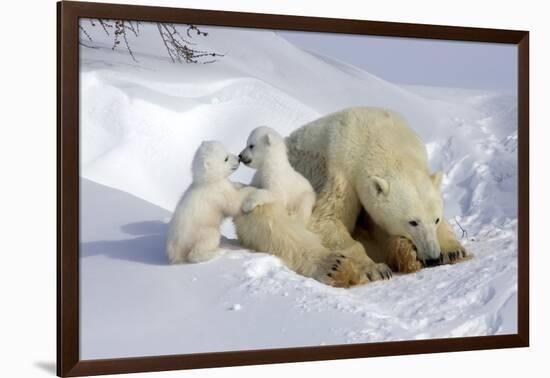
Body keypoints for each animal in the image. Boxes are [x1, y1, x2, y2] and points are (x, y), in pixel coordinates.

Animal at [233, 106, 470, 286]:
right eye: (412, 222)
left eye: (435, 219)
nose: (433, 257)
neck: (381, 135)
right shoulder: (343, 169)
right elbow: (327, 218)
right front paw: (374, 269)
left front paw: (453, 250)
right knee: (274, 222)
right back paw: (335, 266)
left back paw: (406, 254)